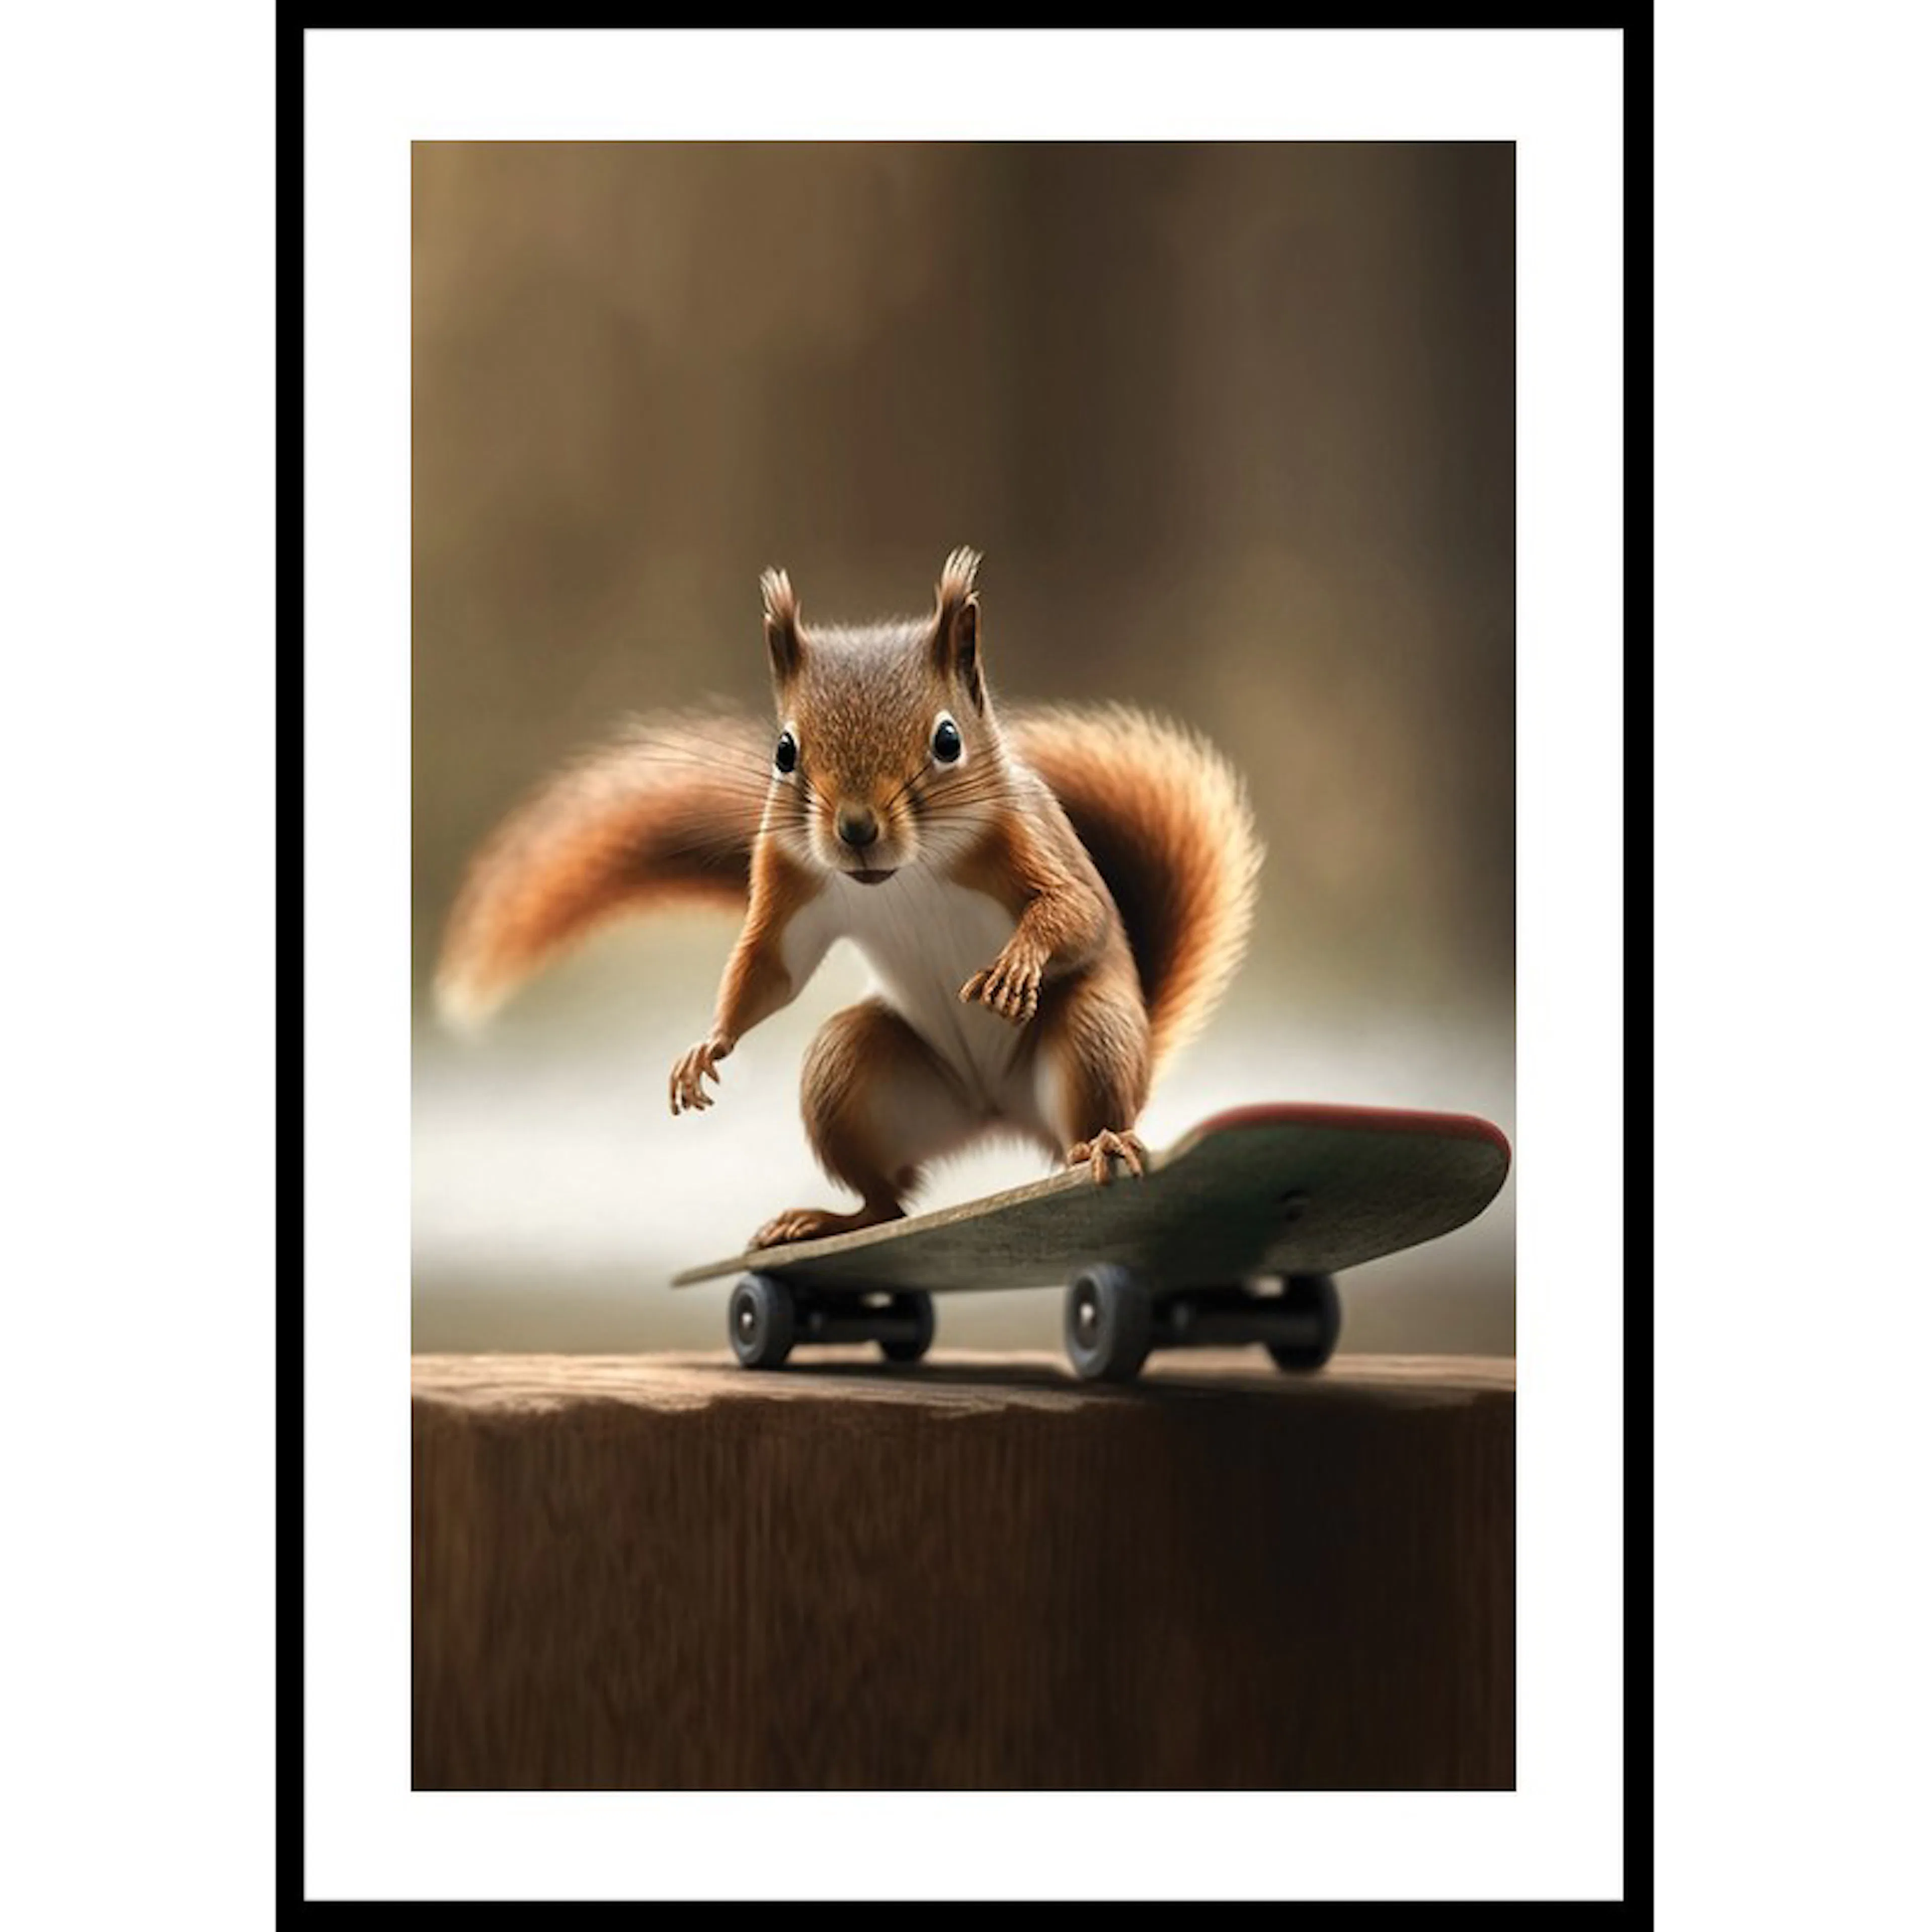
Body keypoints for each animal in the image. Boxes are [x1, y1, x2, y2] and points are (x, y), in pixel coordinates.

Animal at [435, 547, 1262, 1252]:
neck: (910, 874)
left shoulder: (1028, 843)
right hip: (852, 1072)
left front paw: (1017, 961)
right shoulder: (789, 875)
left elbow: (1078, 911)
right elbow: (772, 965)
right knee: (888, 1199)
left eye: (949, 741)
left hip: (1093, 1034)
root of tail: (995, 1113)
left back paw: (1103, 1141)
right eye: (784, 751)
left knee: (1081, 1119)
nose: (856, 828)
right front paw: (710, 1044)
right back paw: (828, 1219)